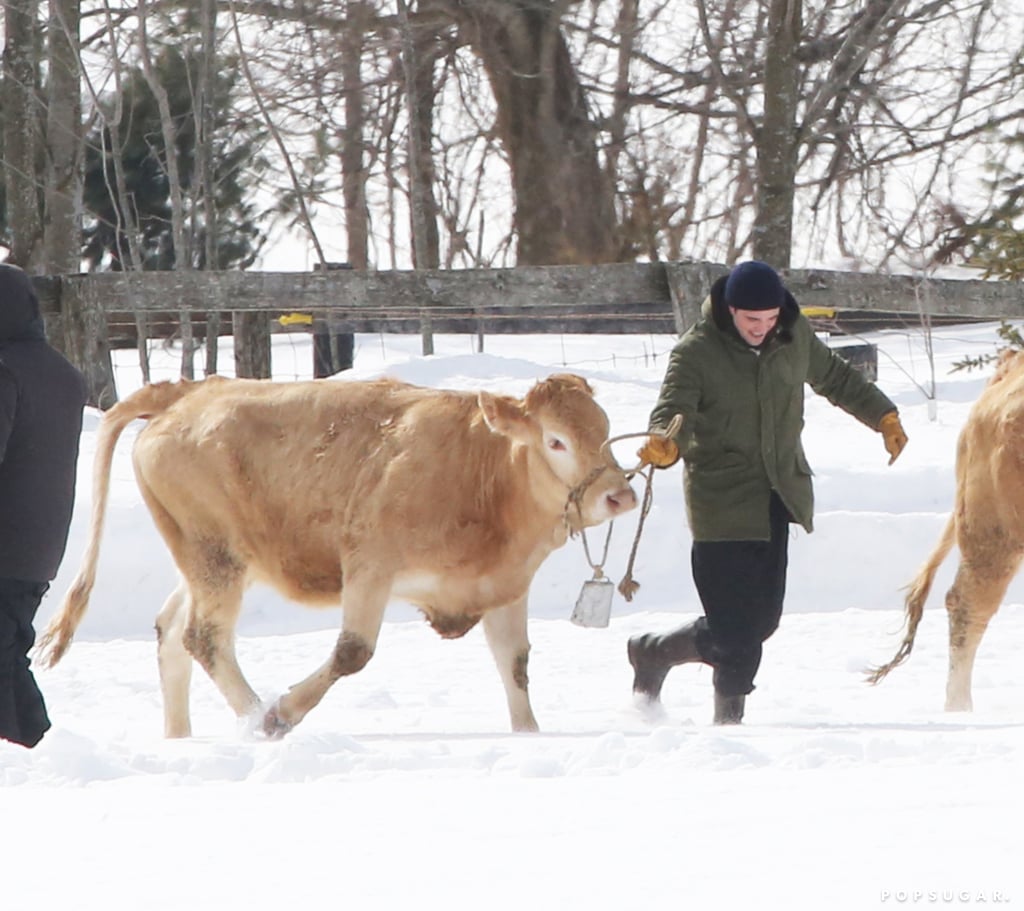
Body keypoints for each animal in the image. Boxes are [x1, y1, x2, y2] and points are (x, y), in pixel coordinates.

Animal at [39, 372, 634, 736]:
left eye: (605, 431)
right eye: (556, 441)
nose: (620, 495)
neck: (480, 472)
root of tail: (189, 392)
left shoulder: (504, 585)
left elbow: (515, 664)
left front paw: (530, 735)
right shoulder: (369, 564)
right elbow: (353, 652)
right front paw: (284, 710)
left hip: (212, 560)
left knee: (171, 633)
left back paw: (181, 738)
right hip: (216, 558)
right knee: (203, 638)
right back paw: (258, 718)